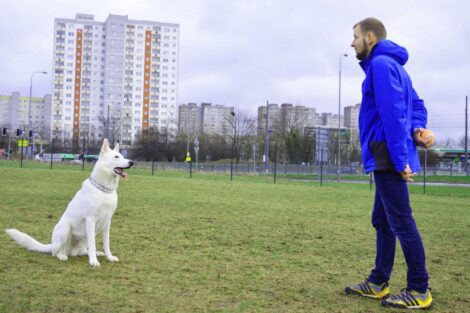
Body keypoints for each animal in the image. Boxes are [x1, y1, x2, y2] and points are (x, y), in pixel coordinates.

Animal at [5, 138, 134, 266]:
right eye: (116, 157)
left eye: (123, 156)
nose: (132, 162)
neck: (104, 190)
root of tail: (53, 245)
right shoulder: (90, 219)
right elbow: (93, 244)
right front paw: (93, 262)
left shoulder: (107, 222)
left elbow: (106, 243)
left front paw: (109, 257)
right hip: (65, 228)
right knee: (56, 252)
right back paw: (62, 255)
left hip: (86, 237)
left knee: (82, 251)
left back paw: (95, 253)